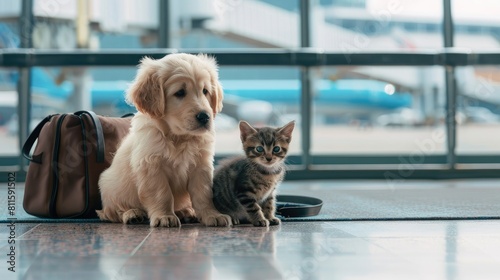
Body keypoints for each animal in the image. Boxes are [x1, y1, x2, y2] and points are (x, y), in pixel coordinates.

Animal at [97, 53, 232, 228]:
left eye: (205, 91)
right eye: (180, 92)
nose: (204, 116)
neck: (178, 137)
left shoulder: (201, 165)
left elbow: (204, 194)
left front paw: (212, 215)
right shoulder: (151, 165)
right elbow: (162, 194)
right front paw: (164, 216)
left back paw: (186, 212)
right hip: (109, 185)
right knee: (113, 212)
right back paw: (132, 214)